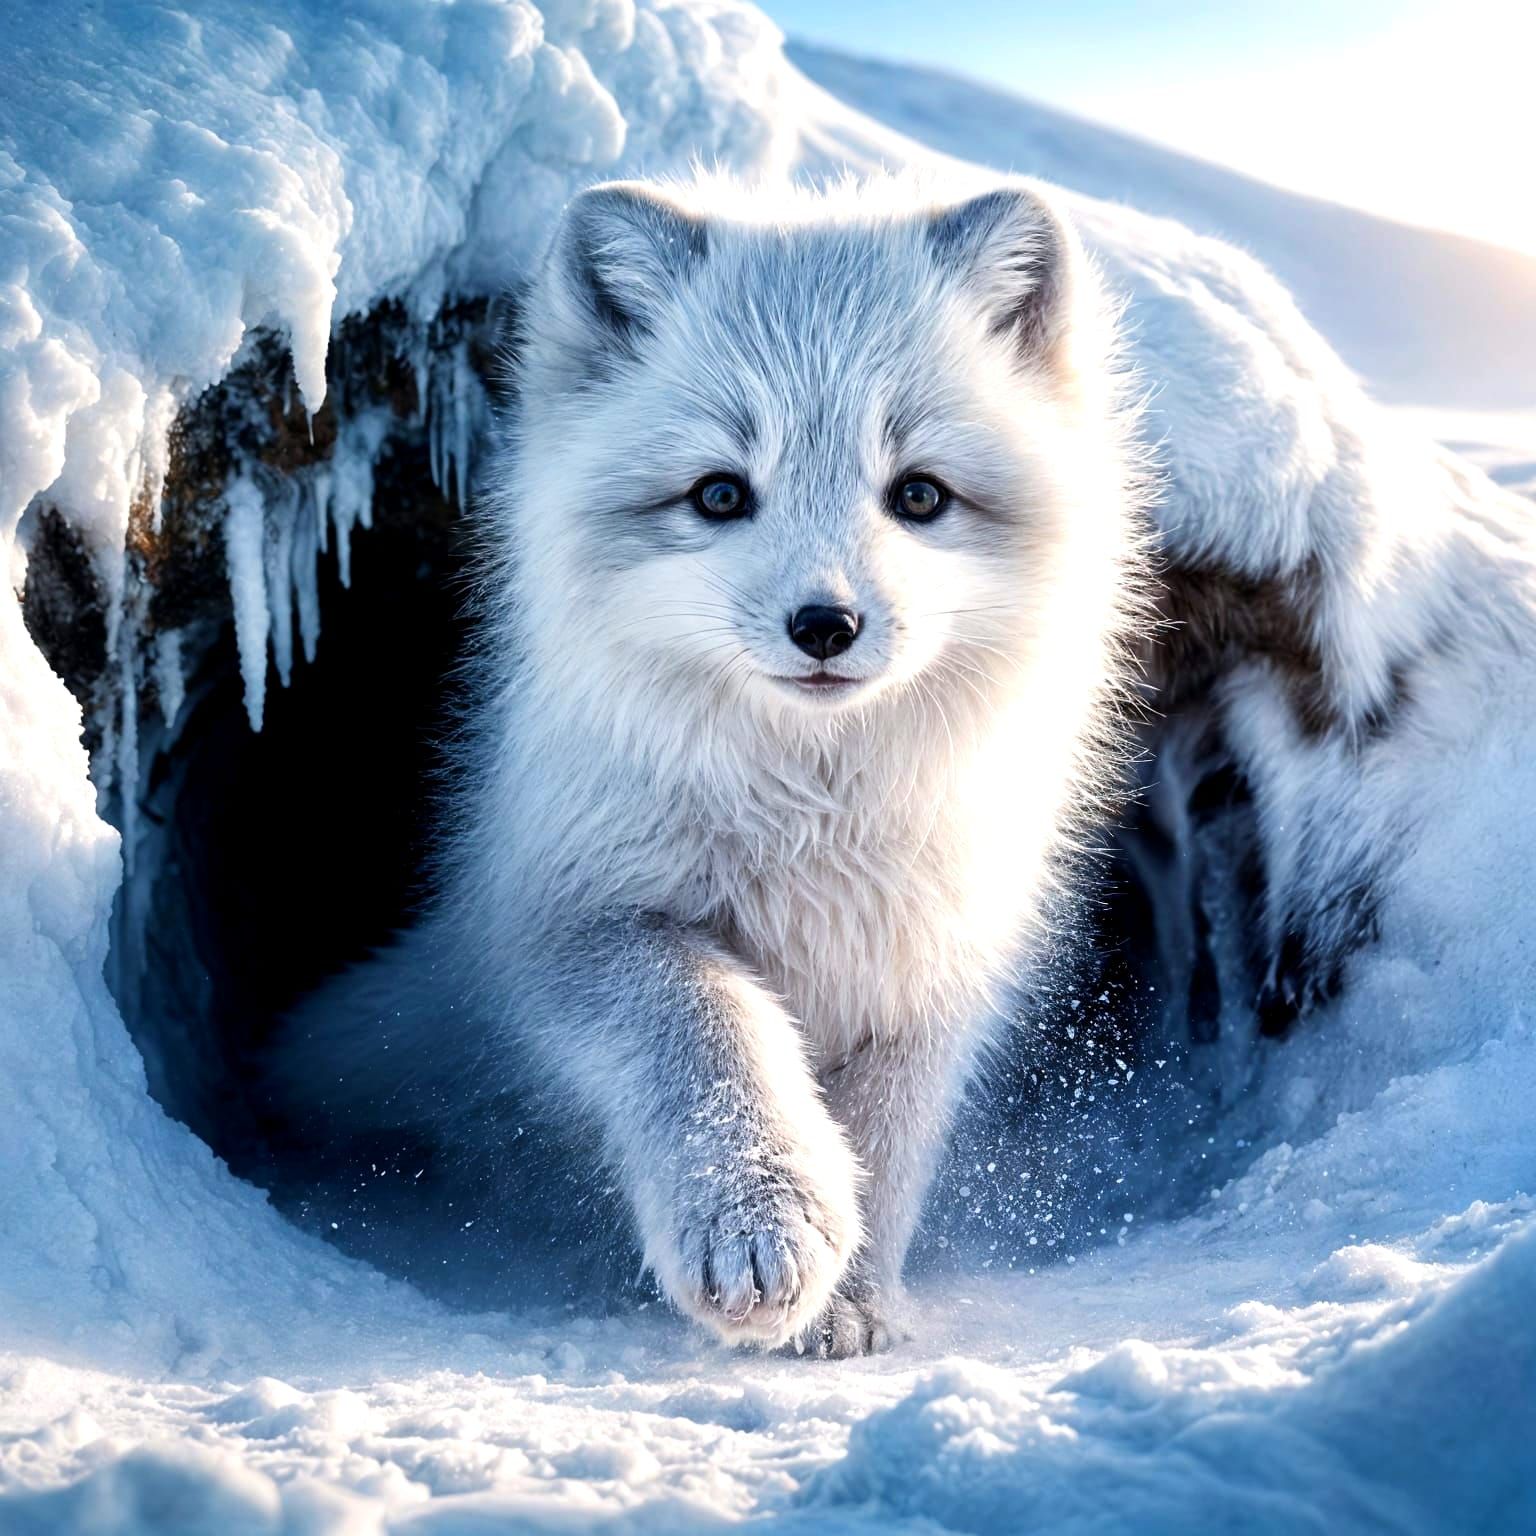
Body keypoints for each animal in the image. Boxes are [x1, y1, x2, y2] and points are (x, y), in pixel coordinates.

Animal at [277, 172, 1146, 1355]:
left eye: (920, 495)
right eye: (721, 495)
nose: (825, 624)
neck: (818, 817)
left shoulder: (935, 973)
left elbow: (893, 1138)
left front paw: (854, 1301)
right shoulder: (576, 922)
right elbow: (708, 1024)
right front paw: (761, 1215)